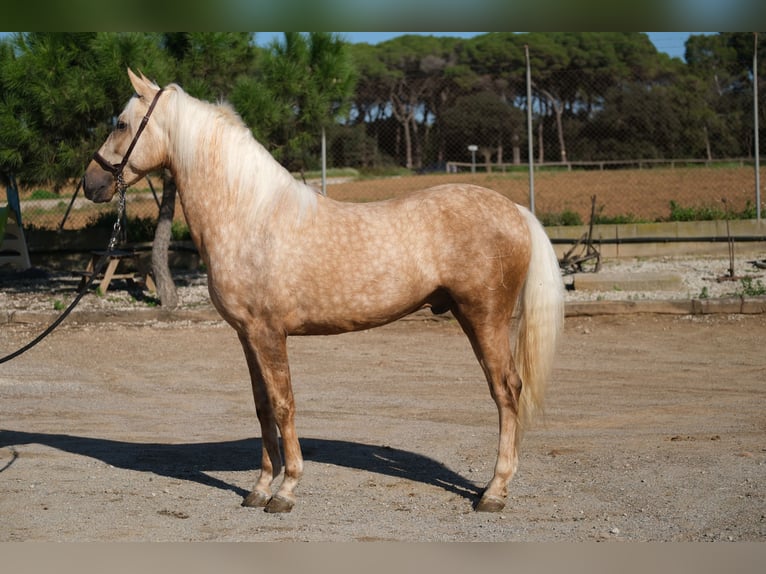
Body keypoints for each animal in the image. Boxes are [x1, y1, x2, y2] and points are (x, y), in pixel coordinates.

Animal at [84, 68, 568, 516]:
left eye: (121, 124)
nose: (91, 184)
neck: (249, 215)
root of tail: (515, 209)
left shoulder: (269, 334)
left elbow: (284, 405)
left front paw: (286, 491)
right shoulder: (247, 335)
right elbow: (262, 407)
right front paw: (259, 488)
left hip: (484, 317)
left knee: (505, 390)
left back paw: (494, 492)